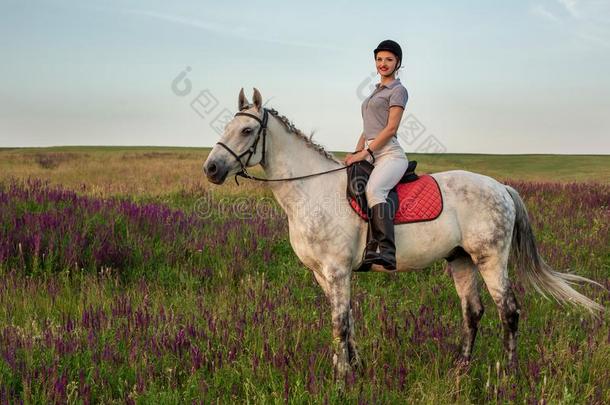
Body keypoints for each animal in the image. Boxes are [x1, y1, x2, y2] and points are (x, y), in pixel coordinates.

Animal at [202, 87, 600, 380]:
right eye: (226, 128)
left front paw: (341, 377)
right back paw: (461, 368)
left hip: (490, 259)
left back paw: (508, 373)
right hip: (461, 261)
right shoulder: (323, 274)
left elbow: (340, 323)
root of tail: (500, 187)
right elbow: (347, 319)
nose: (211, 169)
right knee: (473, 312)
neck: (312, 191)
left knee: (510, 312)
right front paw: (354, 368)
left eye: (247, 130)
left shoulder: (337, 271)